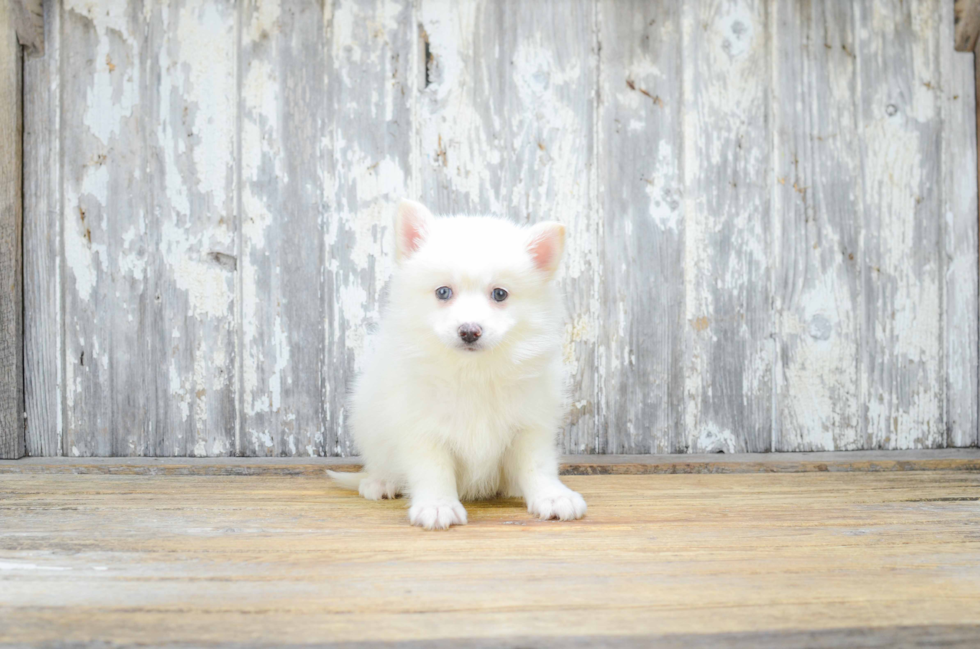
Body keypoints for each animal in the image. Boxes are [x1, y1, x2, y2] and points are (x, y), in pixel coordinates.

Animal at [330, 200, 588, 528]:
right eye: (443, 292)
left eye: (500, 294)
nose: (469, 331)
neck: (472, 370)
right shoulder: (421, 426)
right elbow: (433, 468)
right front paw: (438, 505)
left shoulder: (529, 423)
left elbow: (537, 464)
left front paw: (553, 496)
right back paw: (379, 482)